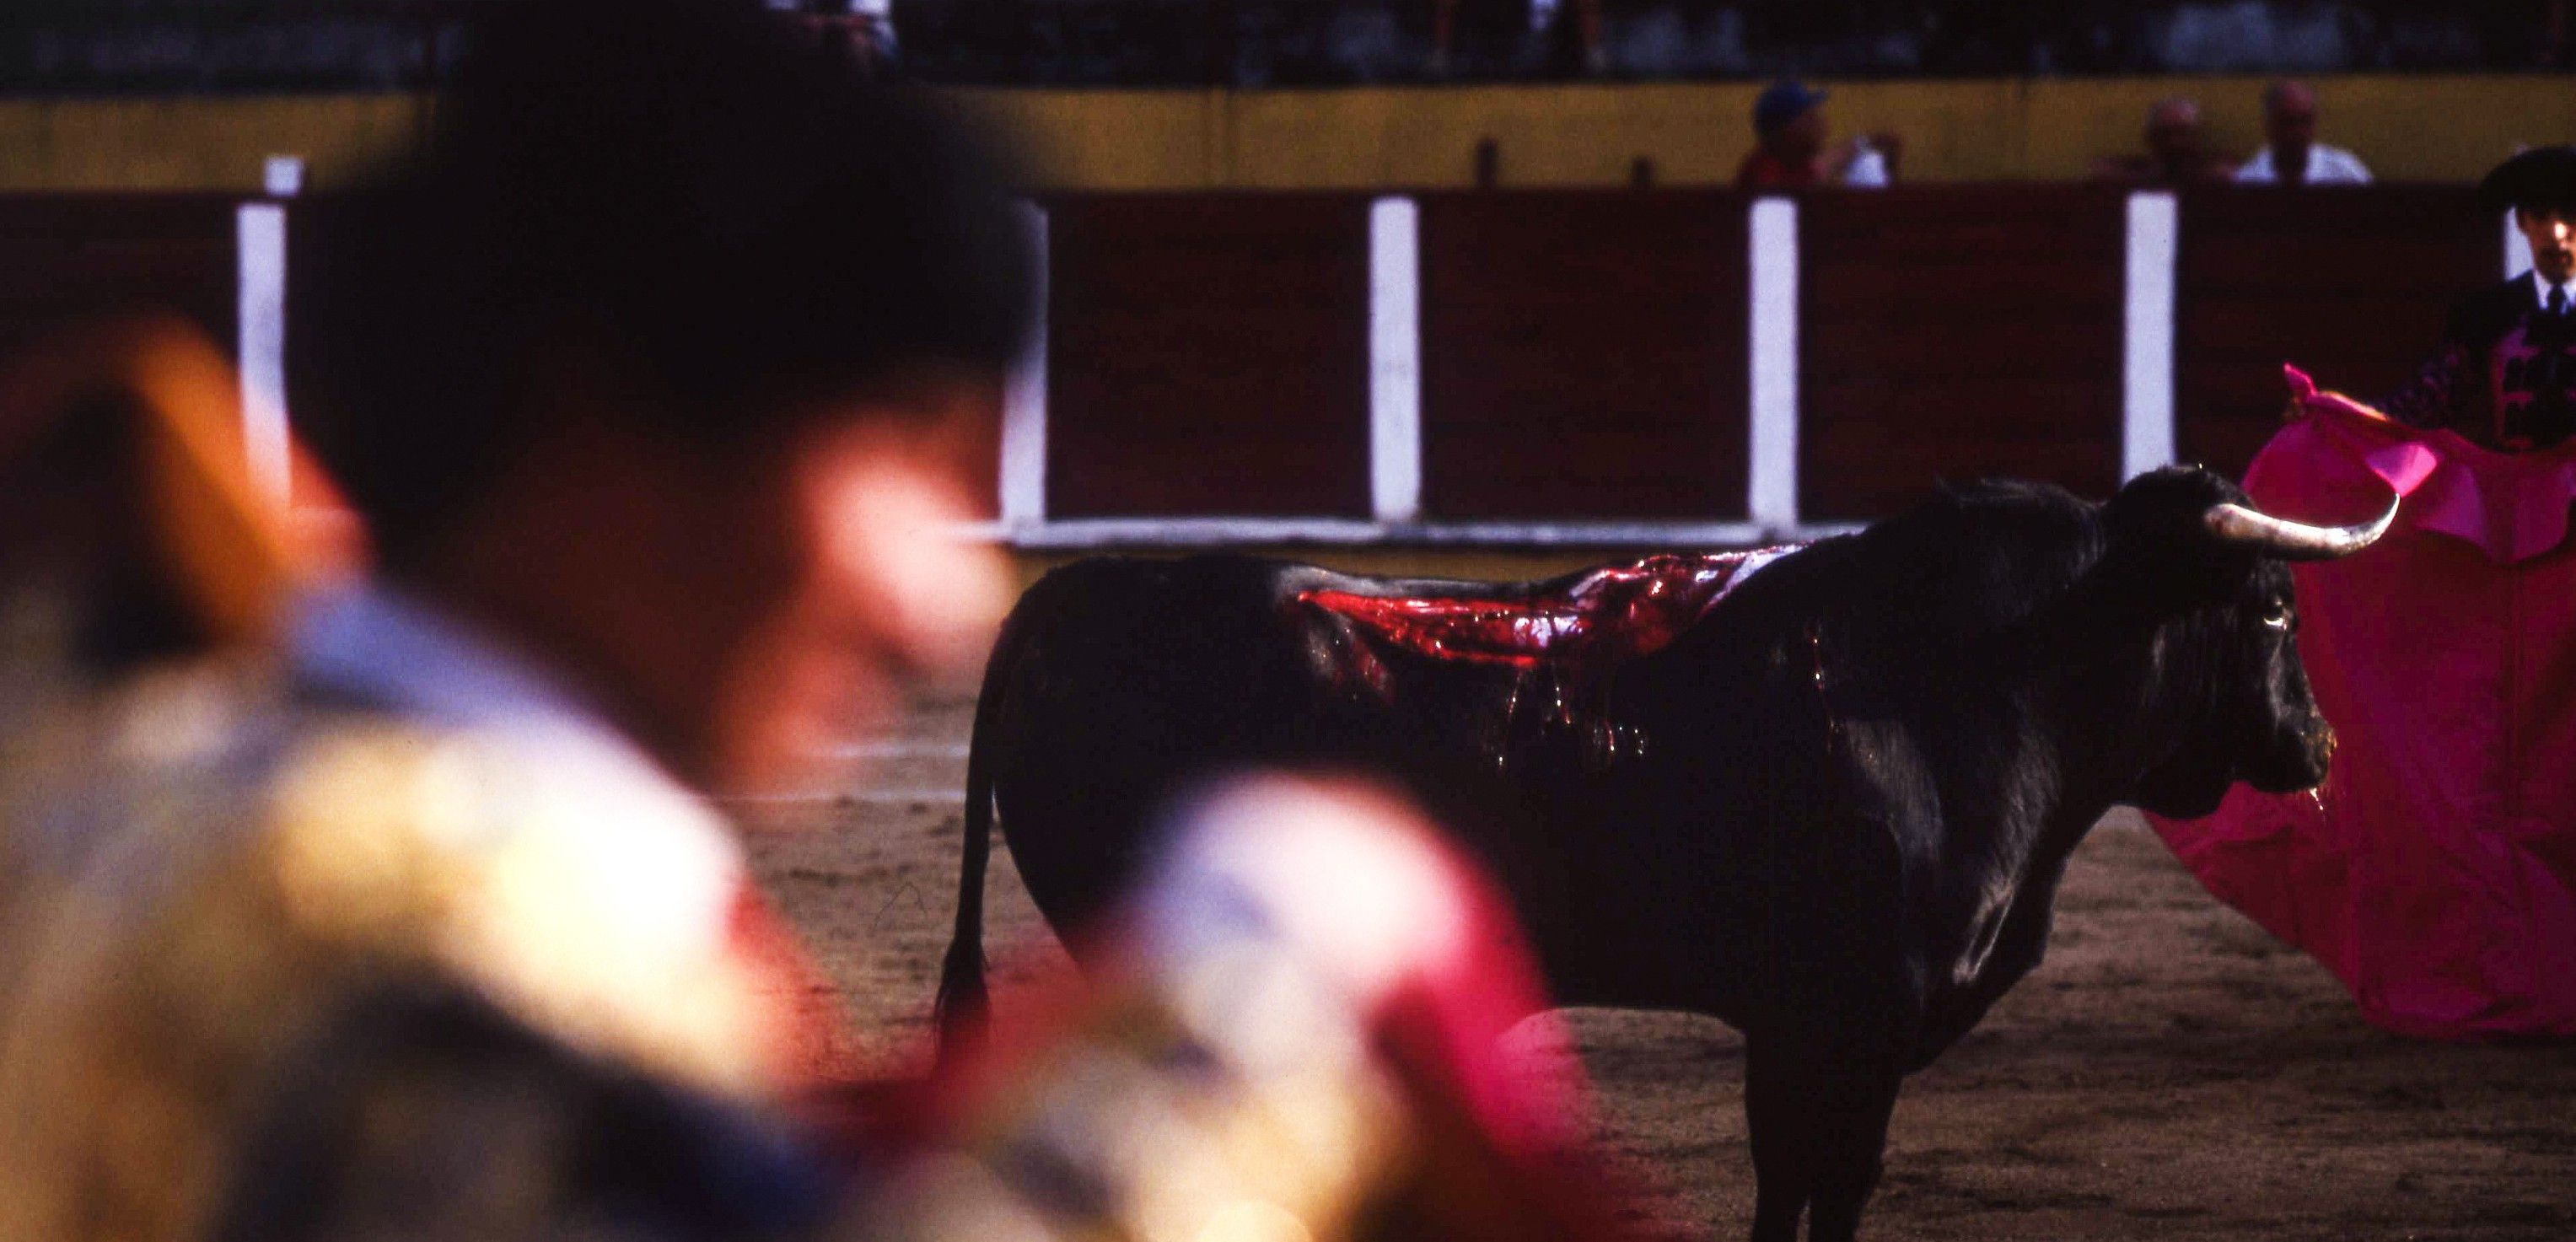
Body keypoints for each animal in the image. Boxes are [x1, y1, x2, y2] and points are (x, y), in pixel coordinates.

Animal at [932, 469, 2390, 1242]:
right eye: (2272, 606)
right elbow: (1824, 1186)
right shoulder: (1845, 1019)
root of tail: (1068, 595)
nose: (2318, 743)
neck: (1971, 680)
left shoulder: (1798, 1029)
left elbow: (1788, 1183)